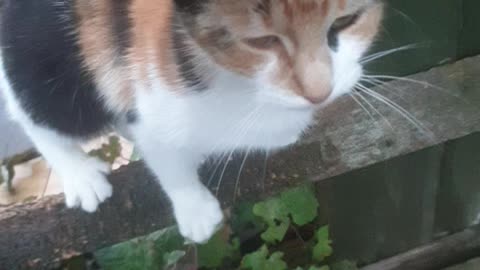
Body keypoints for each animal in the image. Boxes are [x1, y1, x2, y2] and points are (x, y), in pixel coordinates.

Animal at [0, 0, 382, 242]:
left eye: (345, 22)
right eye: (262, 40)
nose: (320, 92)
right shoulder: (150, 81)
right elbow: (164, 153)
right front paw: (194, 208)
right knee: (36, 110)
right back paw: (80, 174)